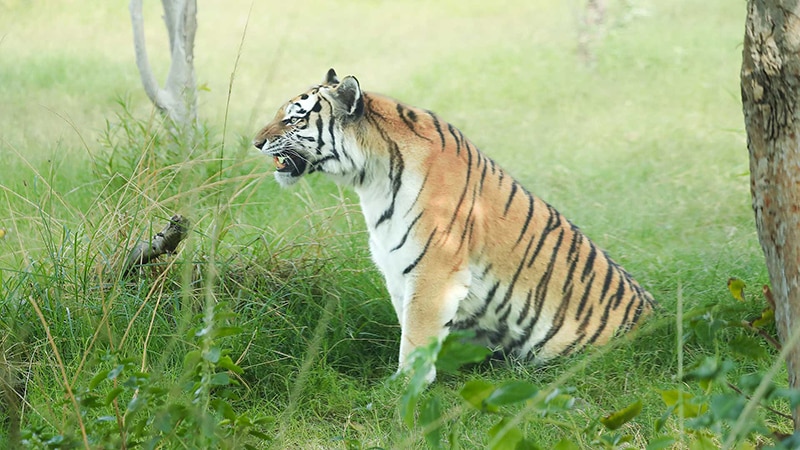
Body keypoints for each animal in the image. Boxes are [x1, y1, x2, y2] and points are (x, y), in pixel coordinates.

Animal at [253, 69, 656, 381]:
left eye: (295, 118)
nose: (256, 143)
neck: (371, 179)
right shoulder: (397, 270)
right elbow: (412, 325)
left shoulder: (434, 270)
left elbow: (416, 335)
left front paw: (402, 389)